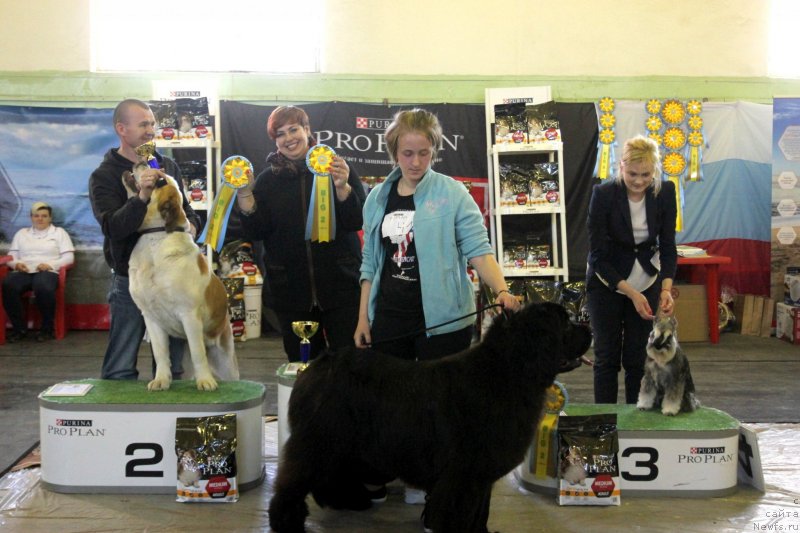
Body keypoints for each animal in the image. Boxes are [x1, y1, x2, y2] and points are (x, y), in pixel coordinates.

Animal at [123, 162, 239, 390]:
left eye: (160, 181)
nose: (141, 162)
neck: (155, 236)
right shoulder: (151, 318)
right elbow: (160, 353)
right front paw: (161, 380)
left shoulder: (189, 316)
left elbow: (197, 352)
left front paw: (205, 381)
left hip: (225, 360)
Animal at [270, 302, 592, 528]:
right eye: (565, 324)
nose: (588, 327)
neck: (510, 371)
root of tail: (317, 366)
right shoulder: (462, 475)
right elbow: (460, 515)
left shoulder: (480, 475)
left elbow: (480, 512)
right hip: (319, 440)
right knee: (292, 483)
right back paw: (286, 521)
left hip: (339, 444)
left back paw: (350, 500)